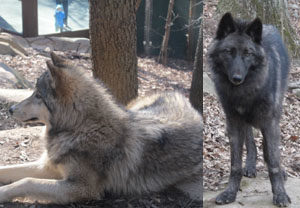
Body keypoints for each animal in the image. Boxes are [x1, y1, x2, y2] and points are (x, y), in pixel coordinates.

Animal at [1, 52, 203, 204]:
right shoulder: (48, 167)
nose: (10, 109)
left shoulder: (82, 188)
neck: (80, 128)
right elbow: (8, 170)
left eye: (37, 95)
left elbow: (27, 182)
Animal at [209, 13, 290, 206]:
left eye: (248, 53)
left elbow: (274, 161)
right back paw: (251, 165)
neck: (245, 91)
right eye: (229, 51)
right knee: (251, 142)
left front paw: (280, 194)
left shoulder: (269, 122)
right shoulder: (233, 122)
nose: (237, 78)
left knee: (269, 149)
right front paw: (230, 193)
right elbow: (235, 164)